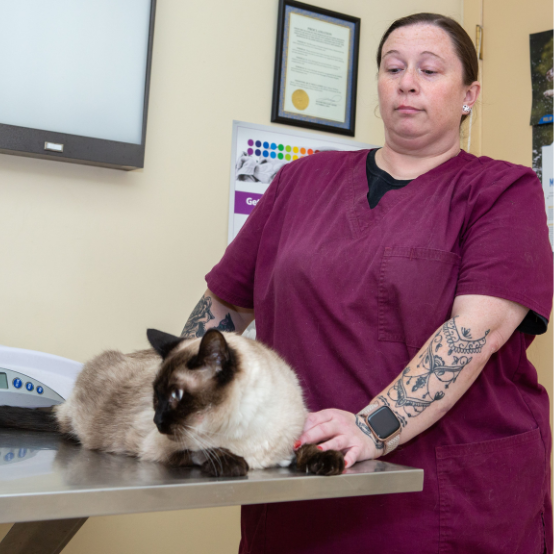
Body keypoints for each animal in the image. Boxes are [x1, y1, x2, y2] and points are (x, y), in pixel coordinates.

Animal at [0, 330, 342, 476]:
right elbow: (202, 450)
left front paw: (326, 459)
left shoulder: (290, 439)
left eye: (176, 396)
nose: (157, 421)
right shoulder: (160, 447)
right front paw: (232, 463)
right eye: (155, 395)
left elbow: (307, 446)